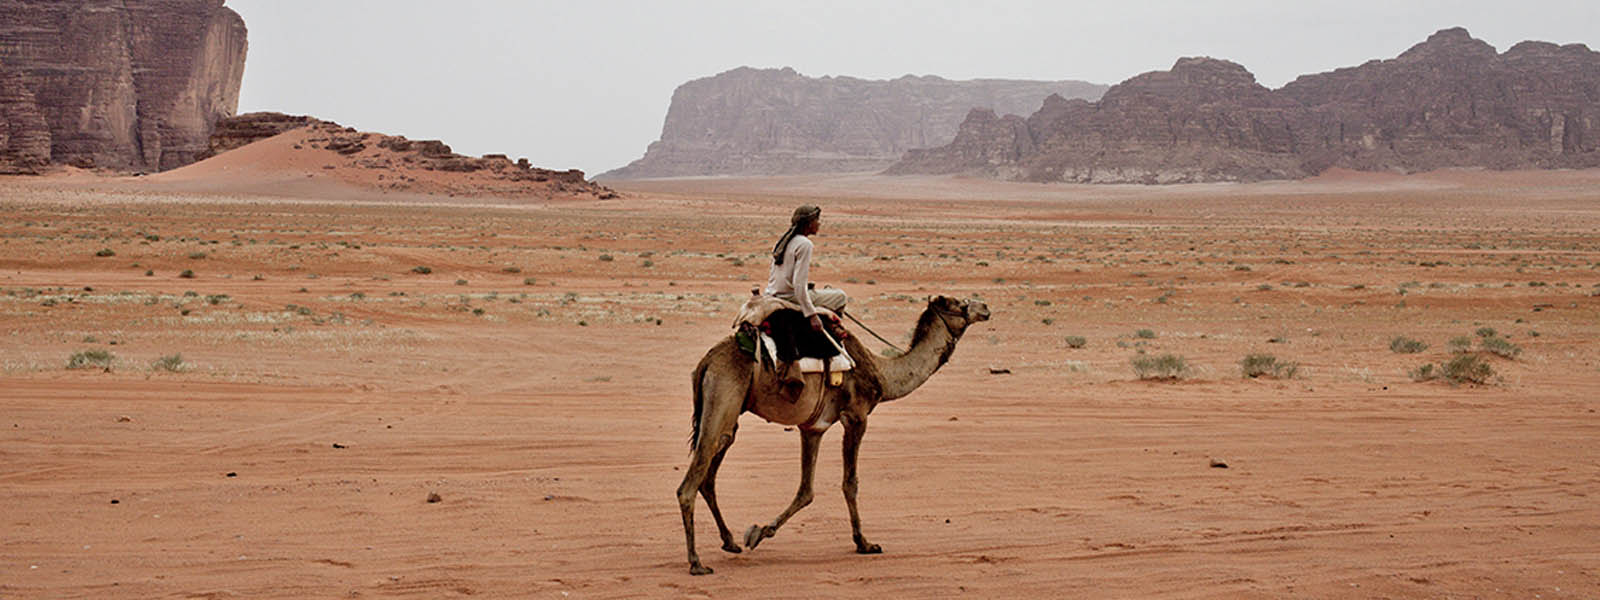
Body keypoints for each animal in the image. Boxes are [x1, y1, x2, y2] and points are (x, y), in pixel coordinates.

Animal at [672, 296, 985, 579]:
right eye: (959, 303)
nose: (984, 308)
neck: (881, 374)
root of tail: (706, 362)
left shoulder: (813, 428)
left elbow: (806, 491)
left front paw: (758, 533)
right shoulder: (856, 416)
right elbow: (850, 483)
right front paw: (865, 543)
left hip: (728, 416)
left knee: (710, 474)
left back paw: (730, 542)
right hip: (722, 399)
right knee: (689, 484)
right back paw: (696, 563)